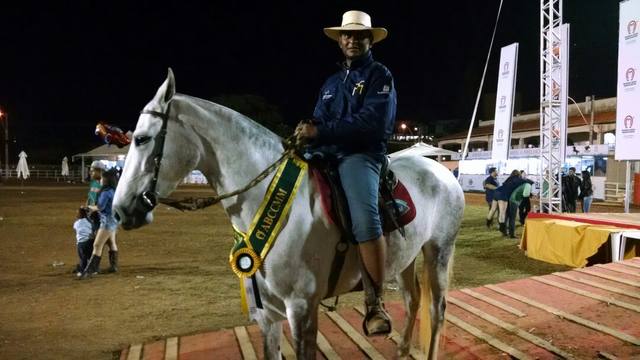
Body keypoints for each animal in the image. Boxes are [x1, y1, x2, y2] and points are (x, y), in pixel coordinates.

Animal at [114, 70, 464, 360]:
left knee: (436, 309)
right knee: (412, 300)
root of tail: (441, 171)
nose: (119, 211)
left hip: (438, 251)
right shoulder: (268, 314)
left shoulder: (301, 309)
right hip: (405, 258)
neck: (274, 202)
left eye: (141, 139)